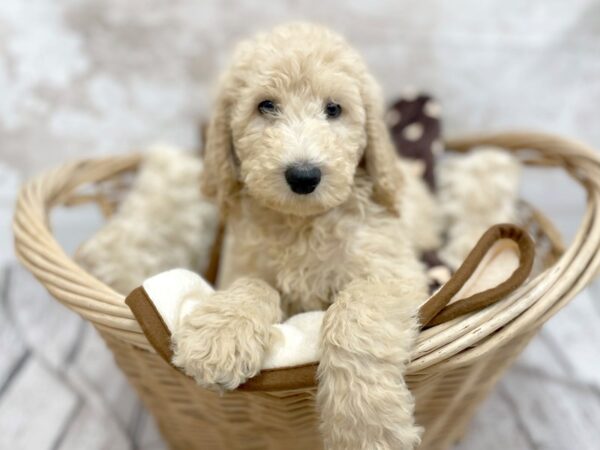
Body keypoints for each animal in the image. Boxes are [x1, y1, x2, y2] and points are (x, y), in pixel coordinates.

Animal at [171, 22, 438, 450]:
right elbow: (254, 285)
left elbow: (355, 312)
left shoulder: (395, 274)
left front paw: (365, 425)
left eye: (334, 109)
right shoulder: (242, 260)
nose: (303, 176)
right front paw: (218, 338)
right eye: (265, 105)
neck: (303, 223)